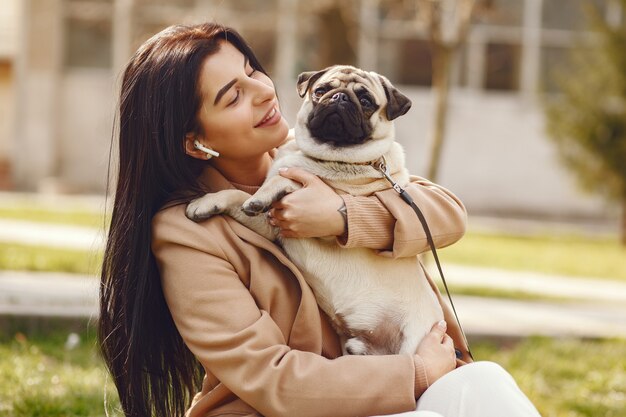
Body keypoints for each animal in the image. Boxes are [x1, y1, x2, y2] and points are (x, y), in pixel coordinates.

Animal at [185, 65, 444, 354]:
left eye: (366, 101)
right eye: (320, 90)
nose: (340, 97)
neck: (320, 155)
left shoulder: (327, 212)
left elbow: (286, 179)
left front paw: (264, 192)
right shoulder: (272, 226)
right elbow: (237, 195)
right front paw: (207, 202)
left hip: (412, 345)